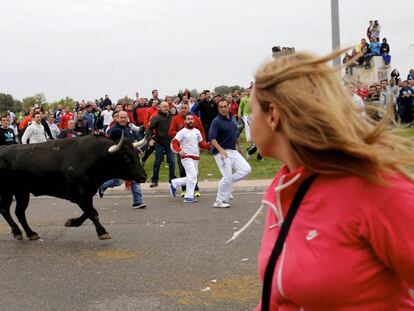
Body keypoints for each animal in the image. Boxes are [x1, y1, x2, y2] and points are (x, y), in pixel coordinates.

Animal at [0, 135, 147, 241]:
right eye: (126, 157)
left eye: (137, 154)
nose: (143, 176)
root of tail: (3, 148)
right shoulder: (79, 195)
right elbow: (93, 212)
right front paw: (102, 232)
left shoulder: (86, 194)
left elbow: (89, 212)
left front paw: (72, 222)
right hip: (8, 191)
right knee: (6, 210)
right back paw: (18, 232)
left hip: (21, 192)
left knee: (18, 212)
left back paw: (29, 233)